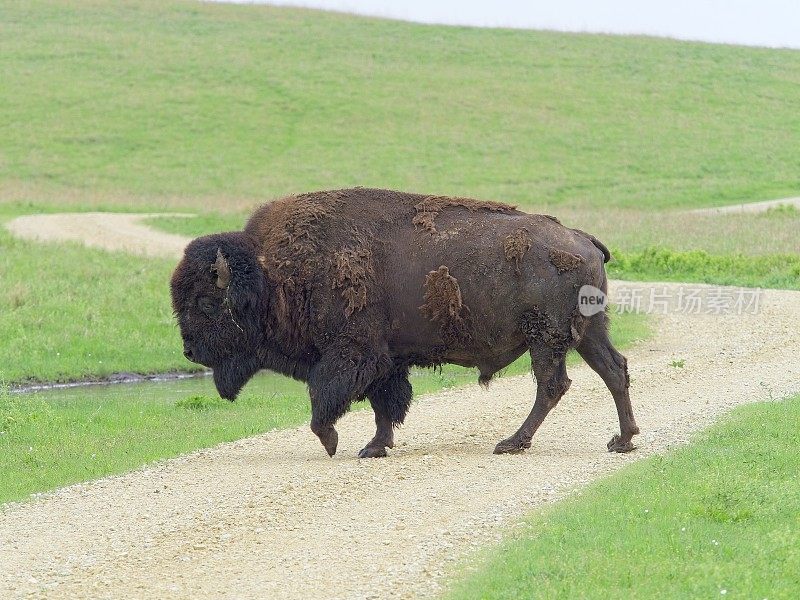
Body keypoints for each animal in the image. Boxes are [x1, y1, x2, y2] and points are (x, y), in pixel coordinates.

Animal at [172, 190, 640, 458]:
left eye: (207, 302)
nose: (190, 350)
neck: (270, 275)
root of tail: (582, 239)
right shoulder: (388, 361)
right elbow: (386, 404)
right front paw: (374, 447)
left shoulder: (350, 354)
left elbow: (326, 399)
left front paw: (334, 443)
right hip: (588, 332)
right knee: (613, 370)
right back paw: (622, 441)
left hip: (547, 336)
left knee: (552, 384)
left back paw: (511, 444)